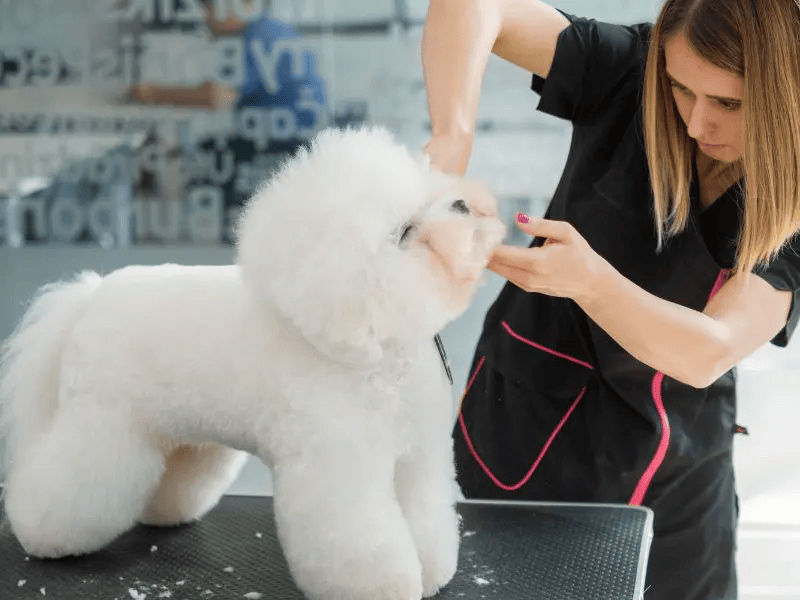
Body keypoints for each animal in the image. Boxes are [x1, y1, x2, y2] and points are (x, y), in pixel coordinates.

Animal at [0, 124, 506, 596]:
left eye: (429, 190)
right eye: (404, 232)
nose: (463, 203)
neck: (381, 354)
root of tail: (90, 297)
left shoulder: (417, 459)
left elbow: (425, 519)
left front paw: (433, 572)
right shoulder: (339, 466)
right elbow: (360, 538)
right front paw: (382, 585)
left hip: (181, 431)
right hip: (104, 425)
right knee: (66, 480)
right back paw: (43, 535)